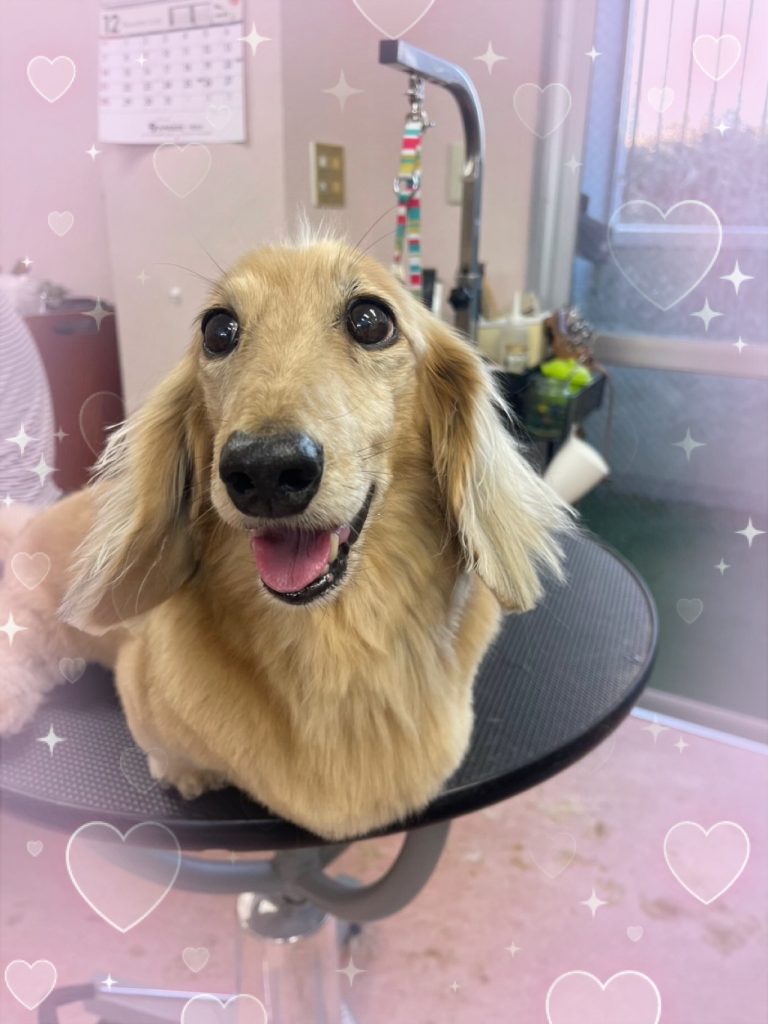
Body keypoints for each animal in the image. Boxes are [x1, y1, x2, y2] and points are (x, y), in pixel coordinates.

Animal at [0, 235, 571, 840]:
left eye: (371, 320)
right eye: (218, 330)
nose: (265, 470)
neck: (332, 641)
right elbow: (173, 756)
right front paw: (189, 774)